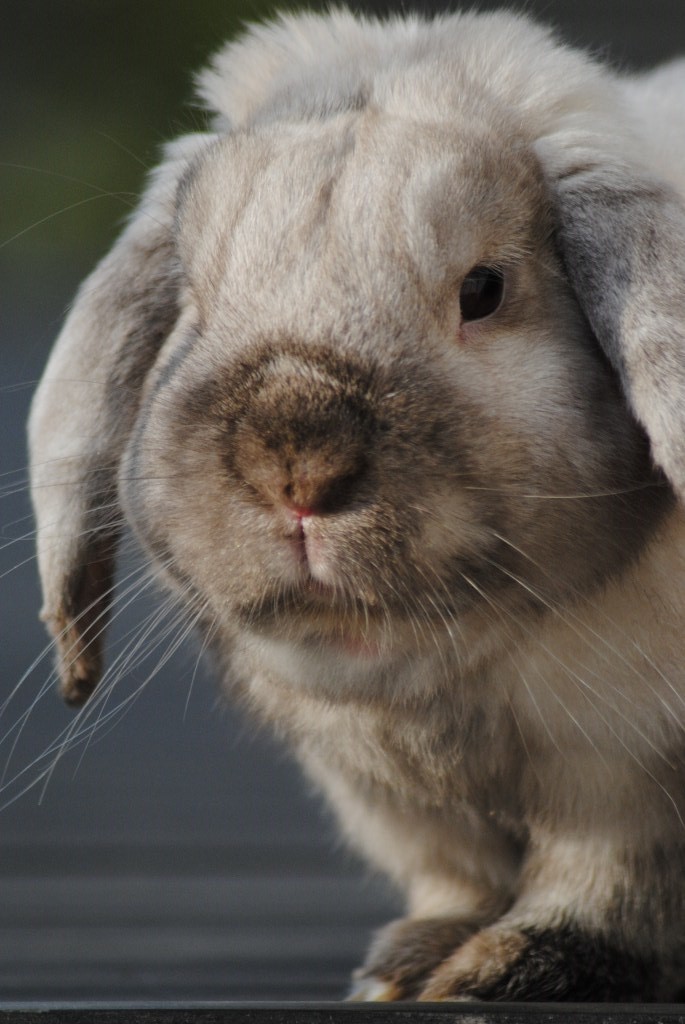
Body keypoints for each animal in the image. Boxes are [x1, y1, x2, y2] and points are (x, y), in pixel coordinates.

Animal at [29, 6, 683, 999]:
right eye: (193, 297)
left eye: (483, 290)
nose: (296, 466)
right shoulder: (395, 803)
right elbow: (453, 877)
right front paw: (408, 964)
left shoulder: (620, 773)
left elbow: (603, 883)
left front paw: (508, 970)